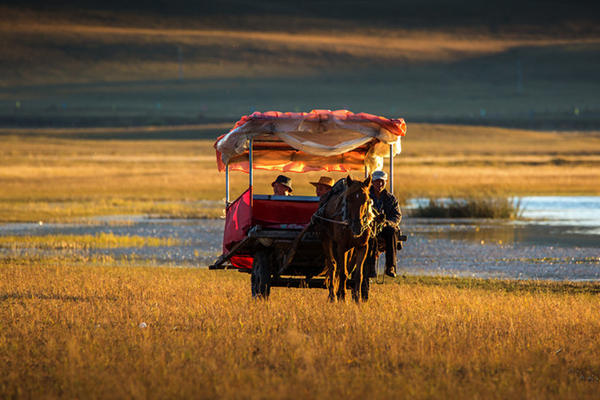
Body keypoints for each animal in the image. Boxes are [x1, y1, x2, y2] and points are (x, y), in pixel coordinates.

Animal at [316, 173, 372, 302]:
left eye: (366, 199)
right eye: (348, 199)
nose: (357, 227)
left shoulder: (362, 247)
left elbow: (358, 274)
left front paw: (357, 299)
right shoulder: (341, 247)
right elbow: (343, 272)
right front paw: (342, 297)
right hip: (326, 240)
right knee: (332, 265)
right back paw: (333, 296)